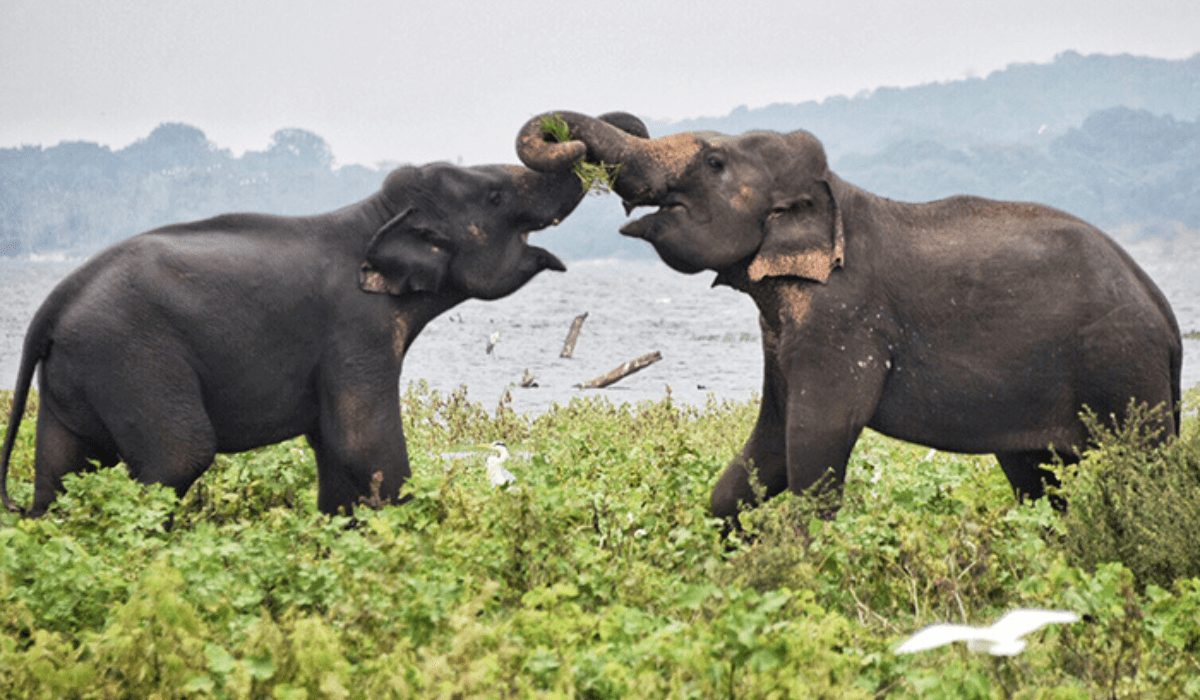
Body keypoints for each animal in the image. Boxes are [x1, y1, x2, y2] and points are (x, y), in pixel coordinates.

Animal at [0, 128, 633, 518]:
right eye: (497, 196)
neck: (373, 216)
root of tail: (52, 305)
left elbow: (333, 450)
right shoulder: (356, 329)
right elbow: (364, 443)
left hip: (79, 375)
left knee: (60, 470)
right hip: (133, 359)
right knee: (178, 456)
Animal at [516, 111, 1180, 525]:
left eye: (713, 162)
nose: (569, 141)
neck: (833, 192)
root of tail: (1165, 316)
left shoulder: (844, 320)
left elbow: (815, 442)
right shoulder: (783, 333)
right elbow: (765, 450)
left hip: (1126, 369)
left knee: (1143, 473)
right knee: (1037, 482)